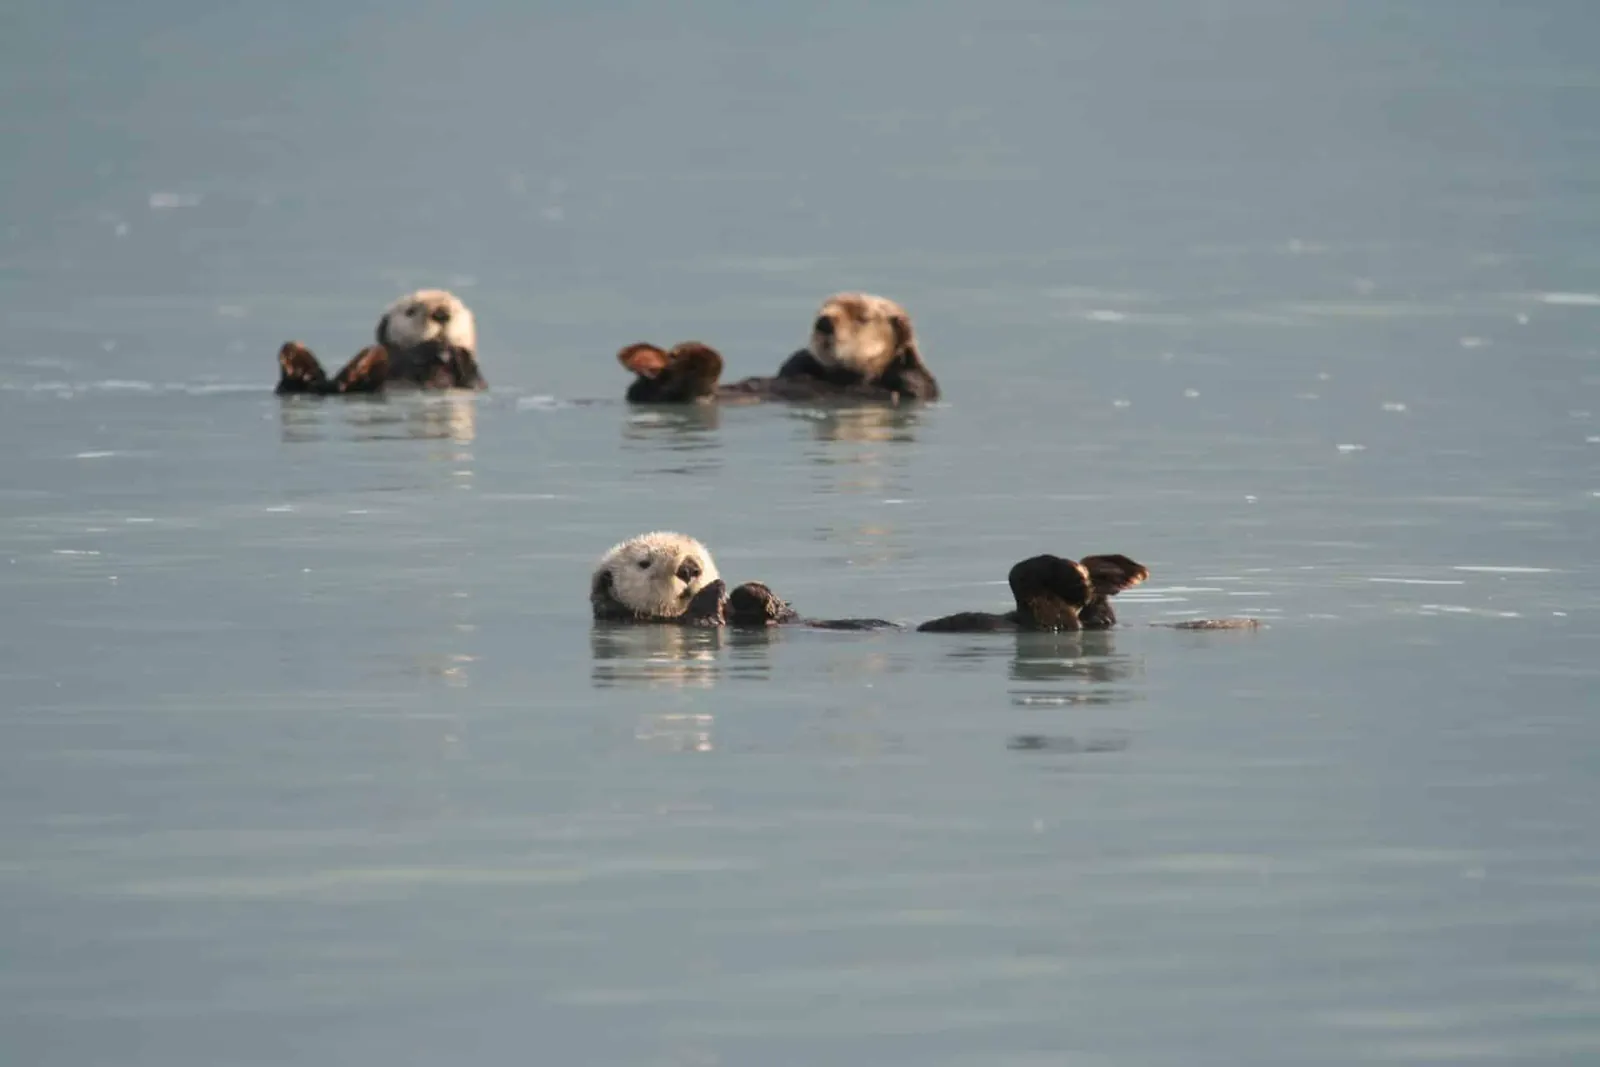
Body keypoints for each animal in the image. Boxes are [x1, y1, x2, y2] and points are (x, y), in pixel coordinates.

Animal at [275, 289, 485, 395]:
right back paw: (295, 357)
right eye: (410, 311)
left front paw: (452, 352)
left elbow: (472, 379)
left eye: (455, 309)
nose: (441, 313)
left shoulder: (471, 380)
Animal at [619, 292, 940, 405]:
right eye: (822, 309)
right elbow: (794, 365)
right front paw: (803, 357)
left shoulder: (918, 387)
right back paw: (646, 358)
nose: (824, 322)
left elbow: (910, 381)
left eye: (862, 316)